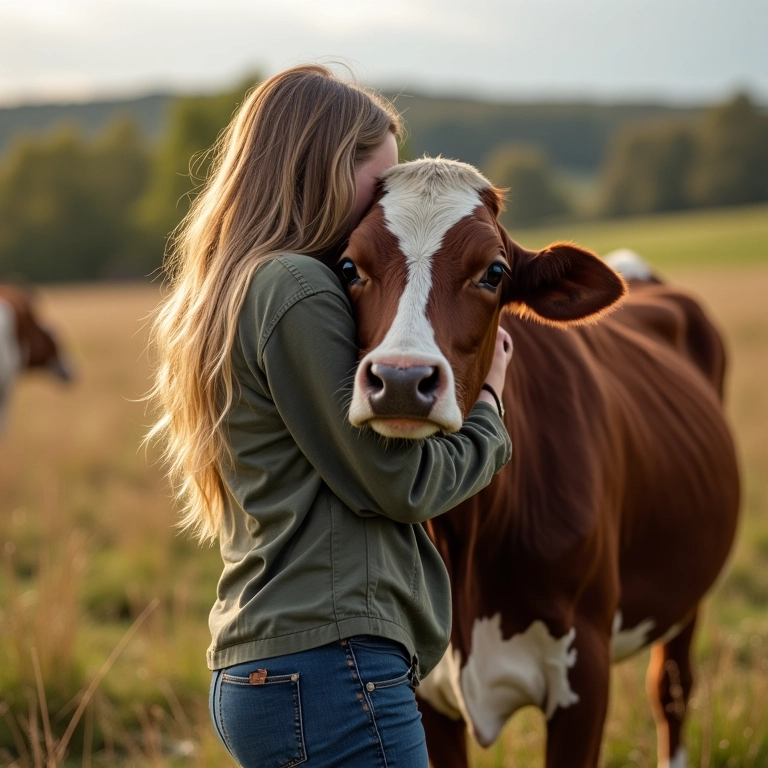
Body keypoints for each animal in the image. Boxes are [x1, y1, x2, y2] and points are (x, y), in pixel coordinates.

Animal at [340, 158, 740, 768]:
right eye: (349, 266)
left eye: (494, 272)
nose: (402, 379)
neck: (464, 535)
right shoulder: (422, 694)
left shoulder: (585, 673)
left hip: (686, 589)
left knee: (671, 688)